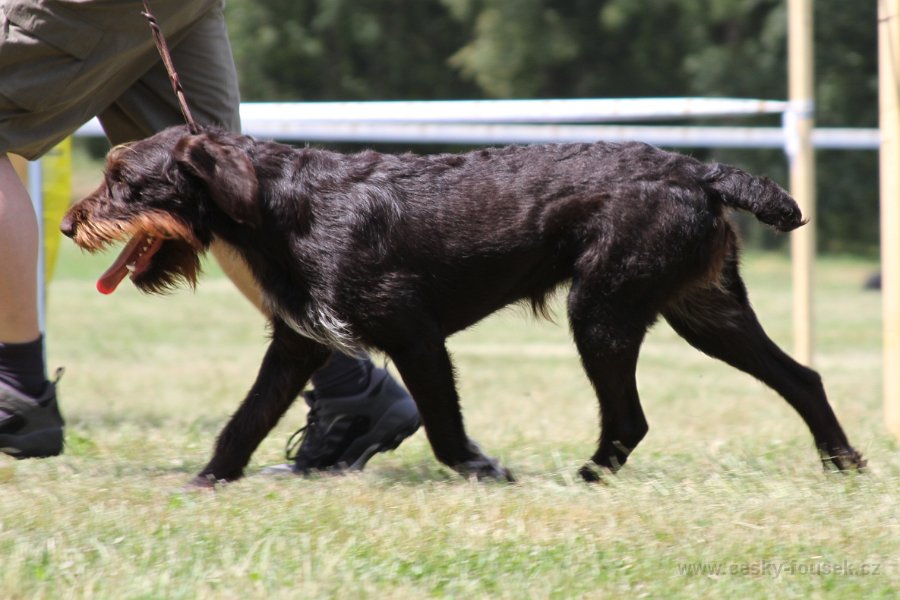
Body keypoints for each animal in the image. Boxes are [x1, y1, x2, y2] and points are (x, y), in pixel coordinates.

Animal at [58, 124, 864, 486]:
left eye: (126, 181)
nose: (67, 224)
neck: (280, 204)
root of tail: (698, 168)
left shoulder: (416, 337)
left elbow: (444, 426)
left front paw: (482, 470)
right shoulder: (298, 344)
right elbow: (245, 420)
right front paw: (207, 482)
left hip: (603, 312)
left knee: (631, 415)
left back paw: (587, 478)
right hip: (705, 311)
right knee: (802, 377)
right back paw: (843, 462)